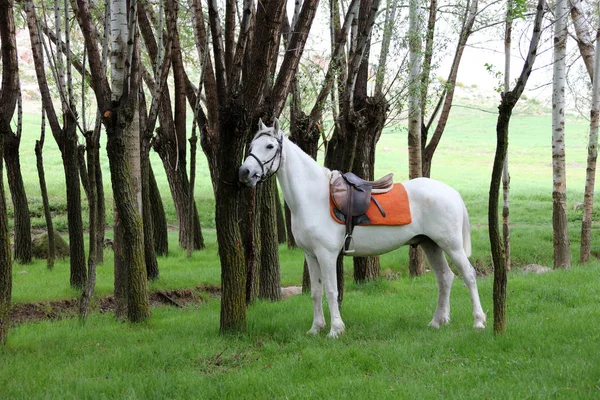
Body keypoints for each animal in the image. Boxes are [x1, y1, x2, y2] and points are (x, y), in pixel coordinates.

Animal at [237, 119, 486, 338]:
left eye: (269, 146)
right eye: (251, 146)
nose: (244, 173)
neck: (313, 197)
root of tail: (451, 192)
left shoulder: (327, 255)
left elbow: (331, 291)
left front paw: (335, 330)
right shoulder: (310, 255)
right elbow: (316, 292)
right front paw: (316, 329)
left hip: (451, 245)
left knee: (469, 275)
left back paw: (479, 321)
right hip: (430, 244)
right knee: (445, 278)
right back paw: (437, 321)